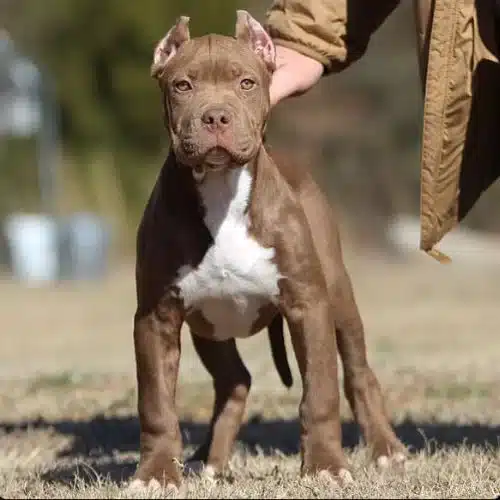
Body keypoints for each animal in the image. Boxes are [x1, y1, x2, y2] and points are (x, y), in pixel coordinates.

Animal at [130, 9, 406, 490]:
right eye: (182, 85)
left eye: (246, 83)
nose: (215, 117)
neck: (222, 188)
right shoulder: (156, 317)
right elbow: (157, 403)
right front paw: (158, 473)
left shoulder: (308, 305)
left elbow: (320, 393)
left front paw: (325, 465)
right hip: (210, 326)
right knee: (235, 381)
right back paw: (210, 461)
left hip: (338, 295)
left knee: (358, 372)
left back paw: (386, 450)